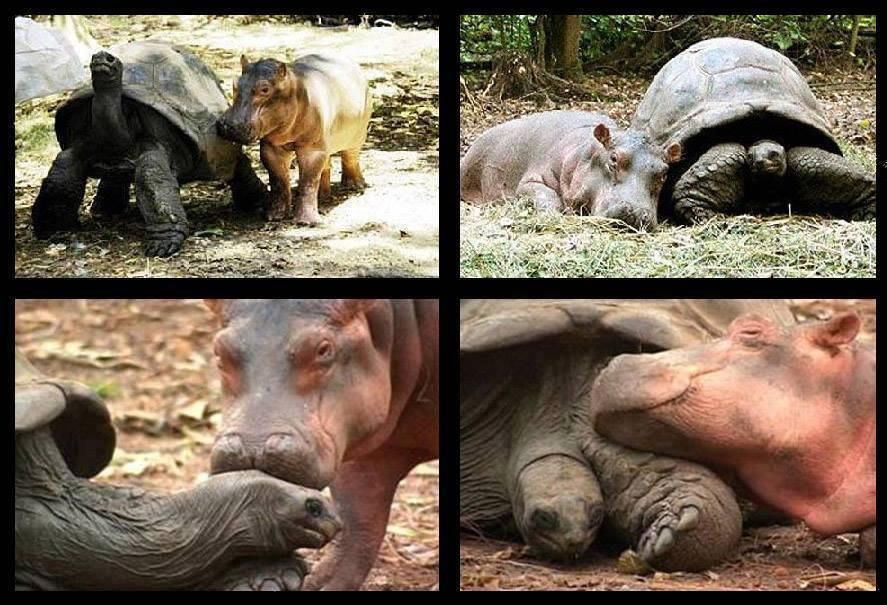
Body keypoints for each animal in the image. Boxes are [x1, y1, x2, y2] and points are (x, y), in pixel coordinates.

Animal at [205, 299, 439, 589]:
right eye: (219, 351)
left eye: (323, 349)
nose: (253, 448)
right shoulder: (356, 439)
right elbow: (358, 510)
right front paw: (316, 582)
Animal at [216, 54, 372, 225]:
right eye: (235, 83)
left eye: (265, 89)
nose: (228, 125)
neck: (295, 89)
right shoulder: (272, 147)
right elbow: (278, 180)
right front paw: (274, 216)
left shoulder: (312, 148)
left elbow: (309, 180)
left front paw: (307, 221)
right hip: (325, 140)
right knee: (326, 164)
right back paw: (323, 195)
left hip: (358, 133)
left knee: (350, 155)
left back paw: (355, 186)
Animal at [459, 111, 681, 229]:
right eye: (614, 159)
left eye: (664, 173)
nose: (635, 212)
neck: (585, 151)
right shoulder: (533, 176)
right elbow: (541, 192)